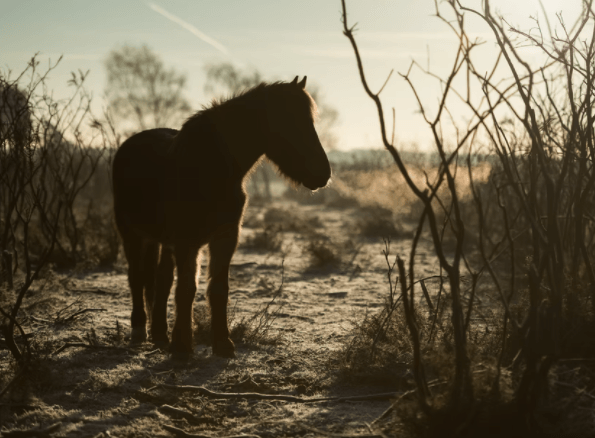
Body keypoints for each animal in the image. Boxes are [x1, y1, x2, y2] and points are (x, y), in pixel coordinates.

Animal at [114, 76, 332, 360]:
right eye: (289, 122)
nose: (323, 174)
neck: (211, 167)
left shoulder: (226, 237)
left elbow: (218, 289)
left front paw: (222, 344)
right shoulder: (188, 241)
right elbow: (187, 289)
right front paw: (182, 348)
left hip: (160, 240)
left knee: (160, 279)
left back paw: (160, 334)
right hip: (131, 234)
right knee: (136, 277)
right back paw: (140, 330)